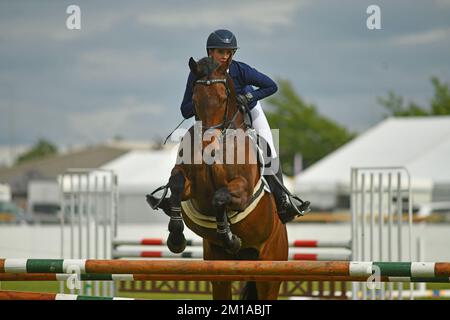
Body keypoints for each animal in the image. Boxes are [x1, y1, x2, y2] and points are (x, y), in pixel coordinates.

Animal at [148, 55, 288, 300]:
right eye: (195, 98)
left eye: (224, 98)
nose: (206, 144)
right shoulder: (191, 188)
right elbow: (176, 185)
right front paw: (176, 239)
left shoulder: (241, 191)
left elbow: (220, 197)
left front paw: (230, 237)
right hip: (219, 271)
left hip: (270, 271)